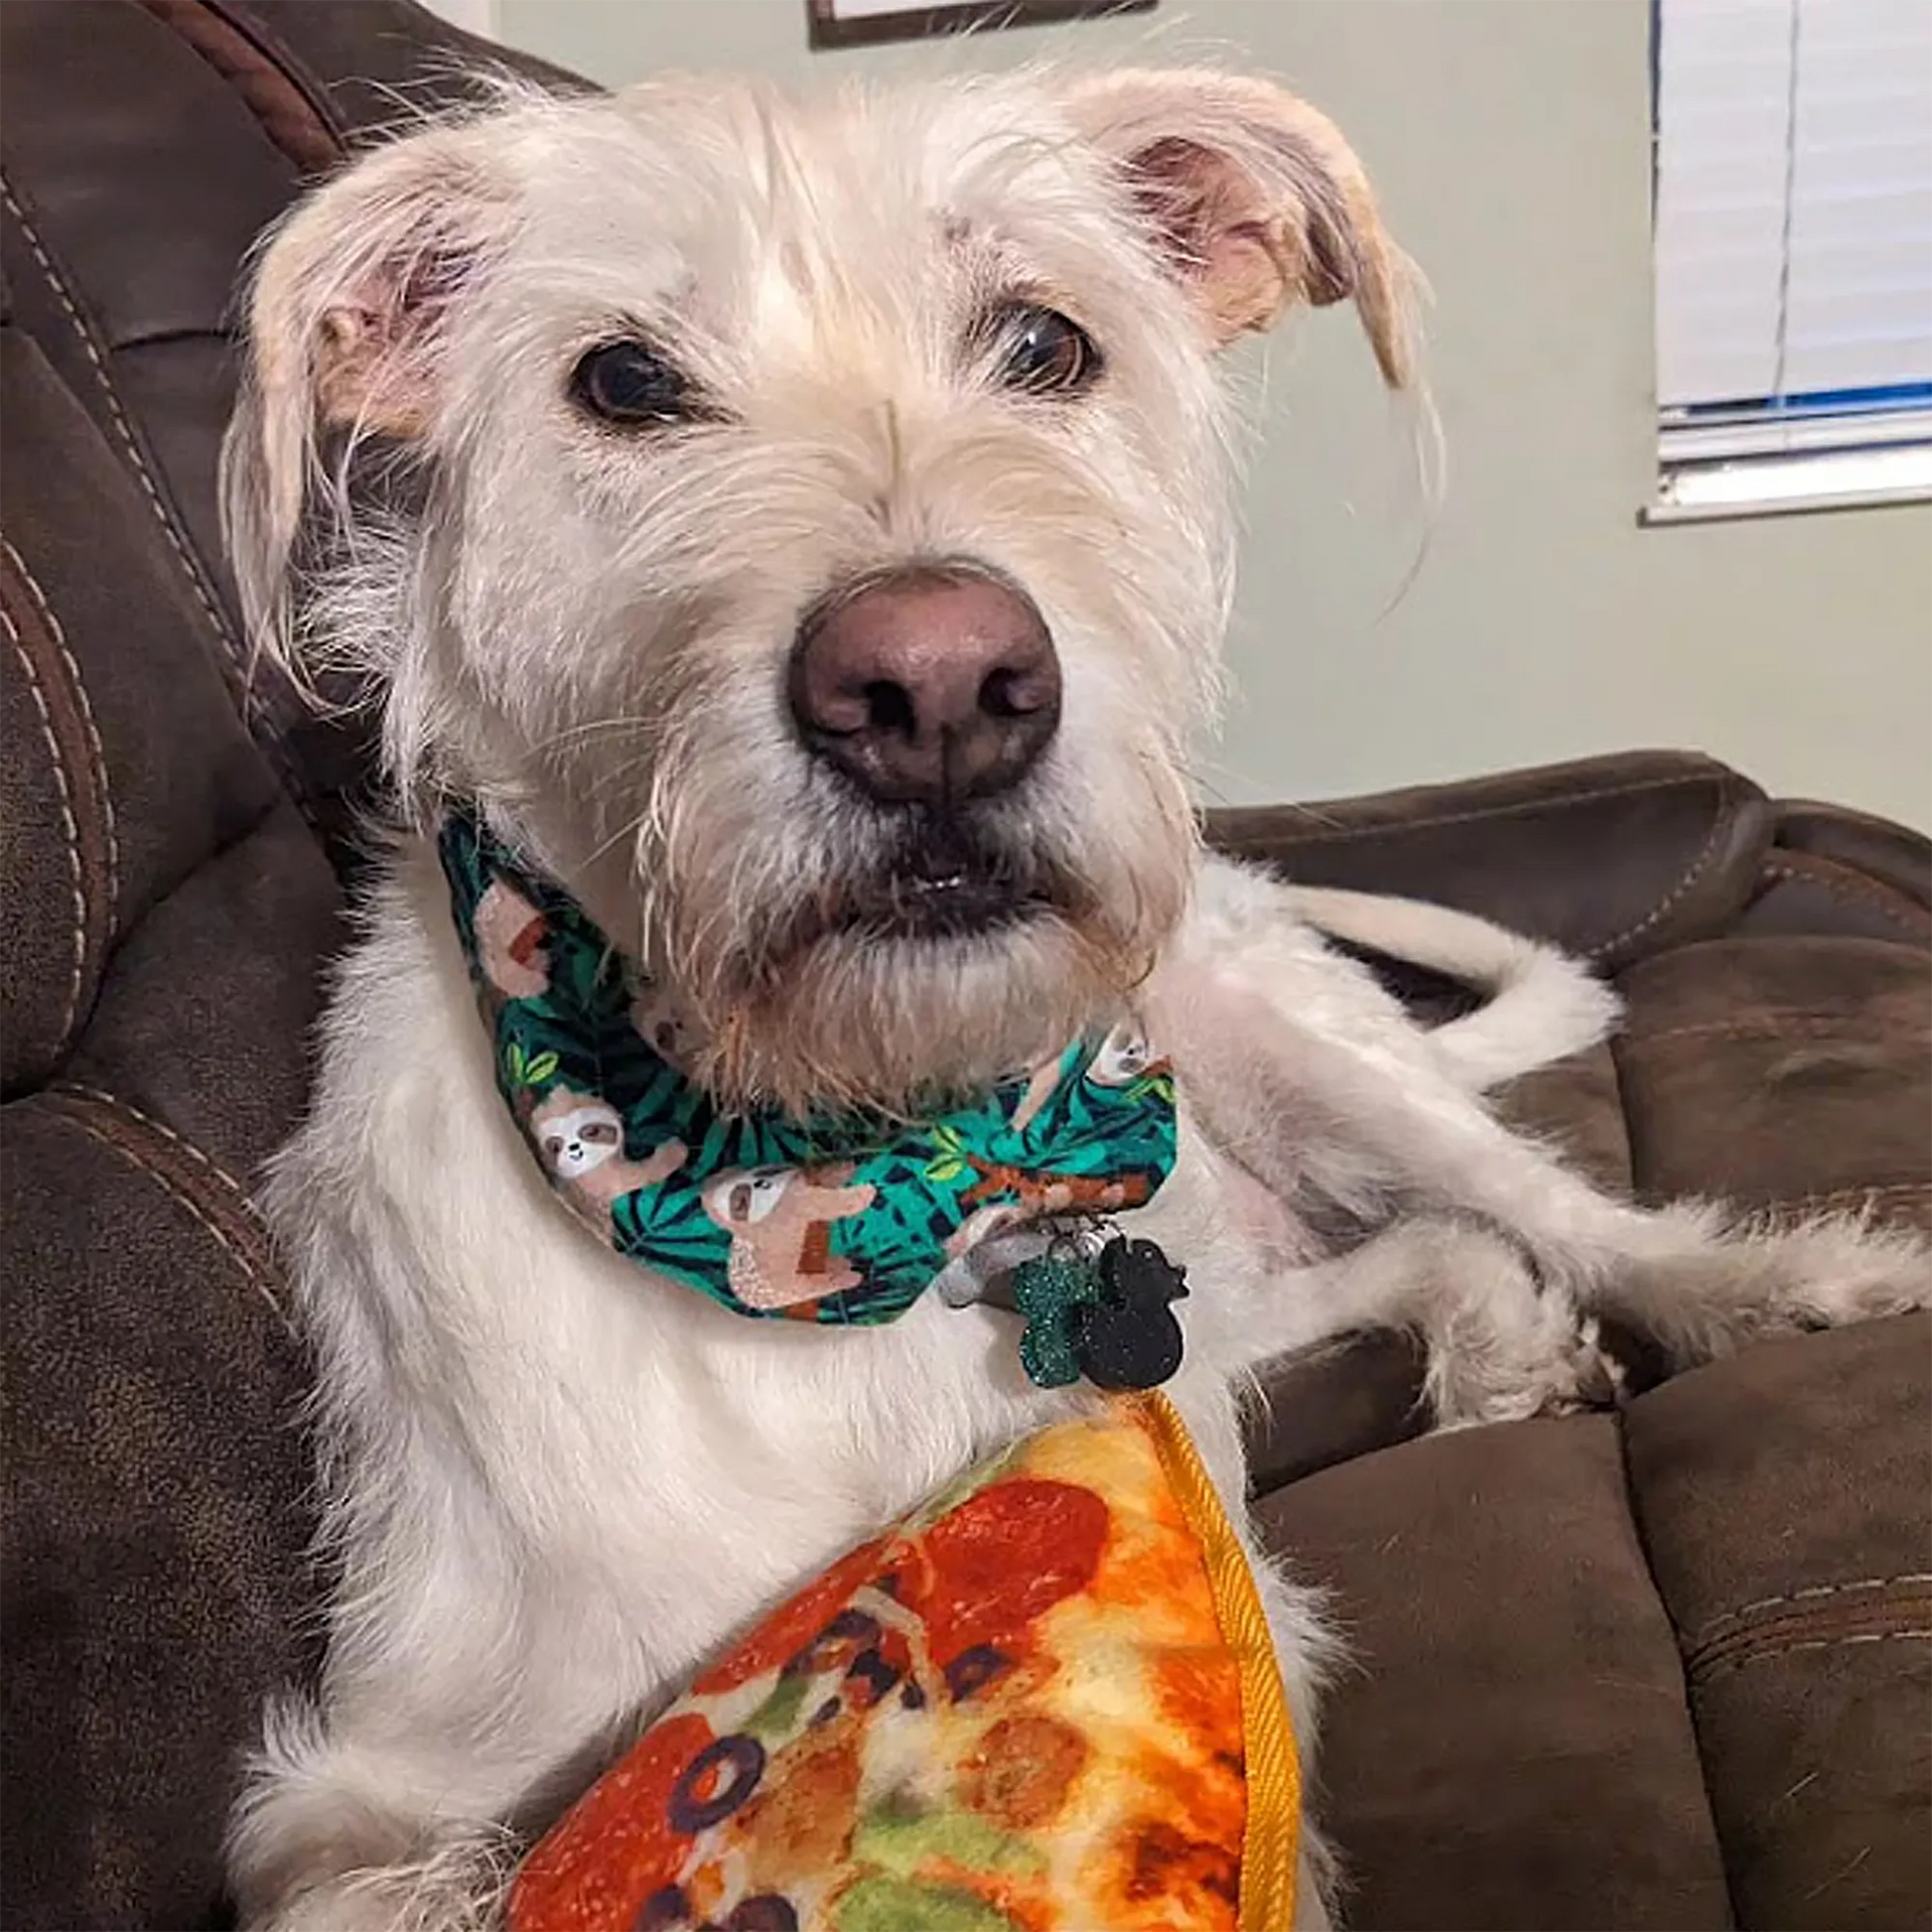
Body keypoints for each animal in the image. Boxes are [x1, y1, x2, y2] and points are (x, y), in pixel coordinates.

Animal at [221, 60, 1932, 1932]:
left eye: (1045, 342)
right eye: (620, 381)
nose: (936, 686)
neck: (844, 1173)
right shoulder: (367, 1788)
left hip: (1286, 1056)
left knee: (1556, 1211)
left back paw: (1768, 1289)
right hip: (1205, 1294)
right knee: (1405, 1257)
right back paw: (1495, 1345)